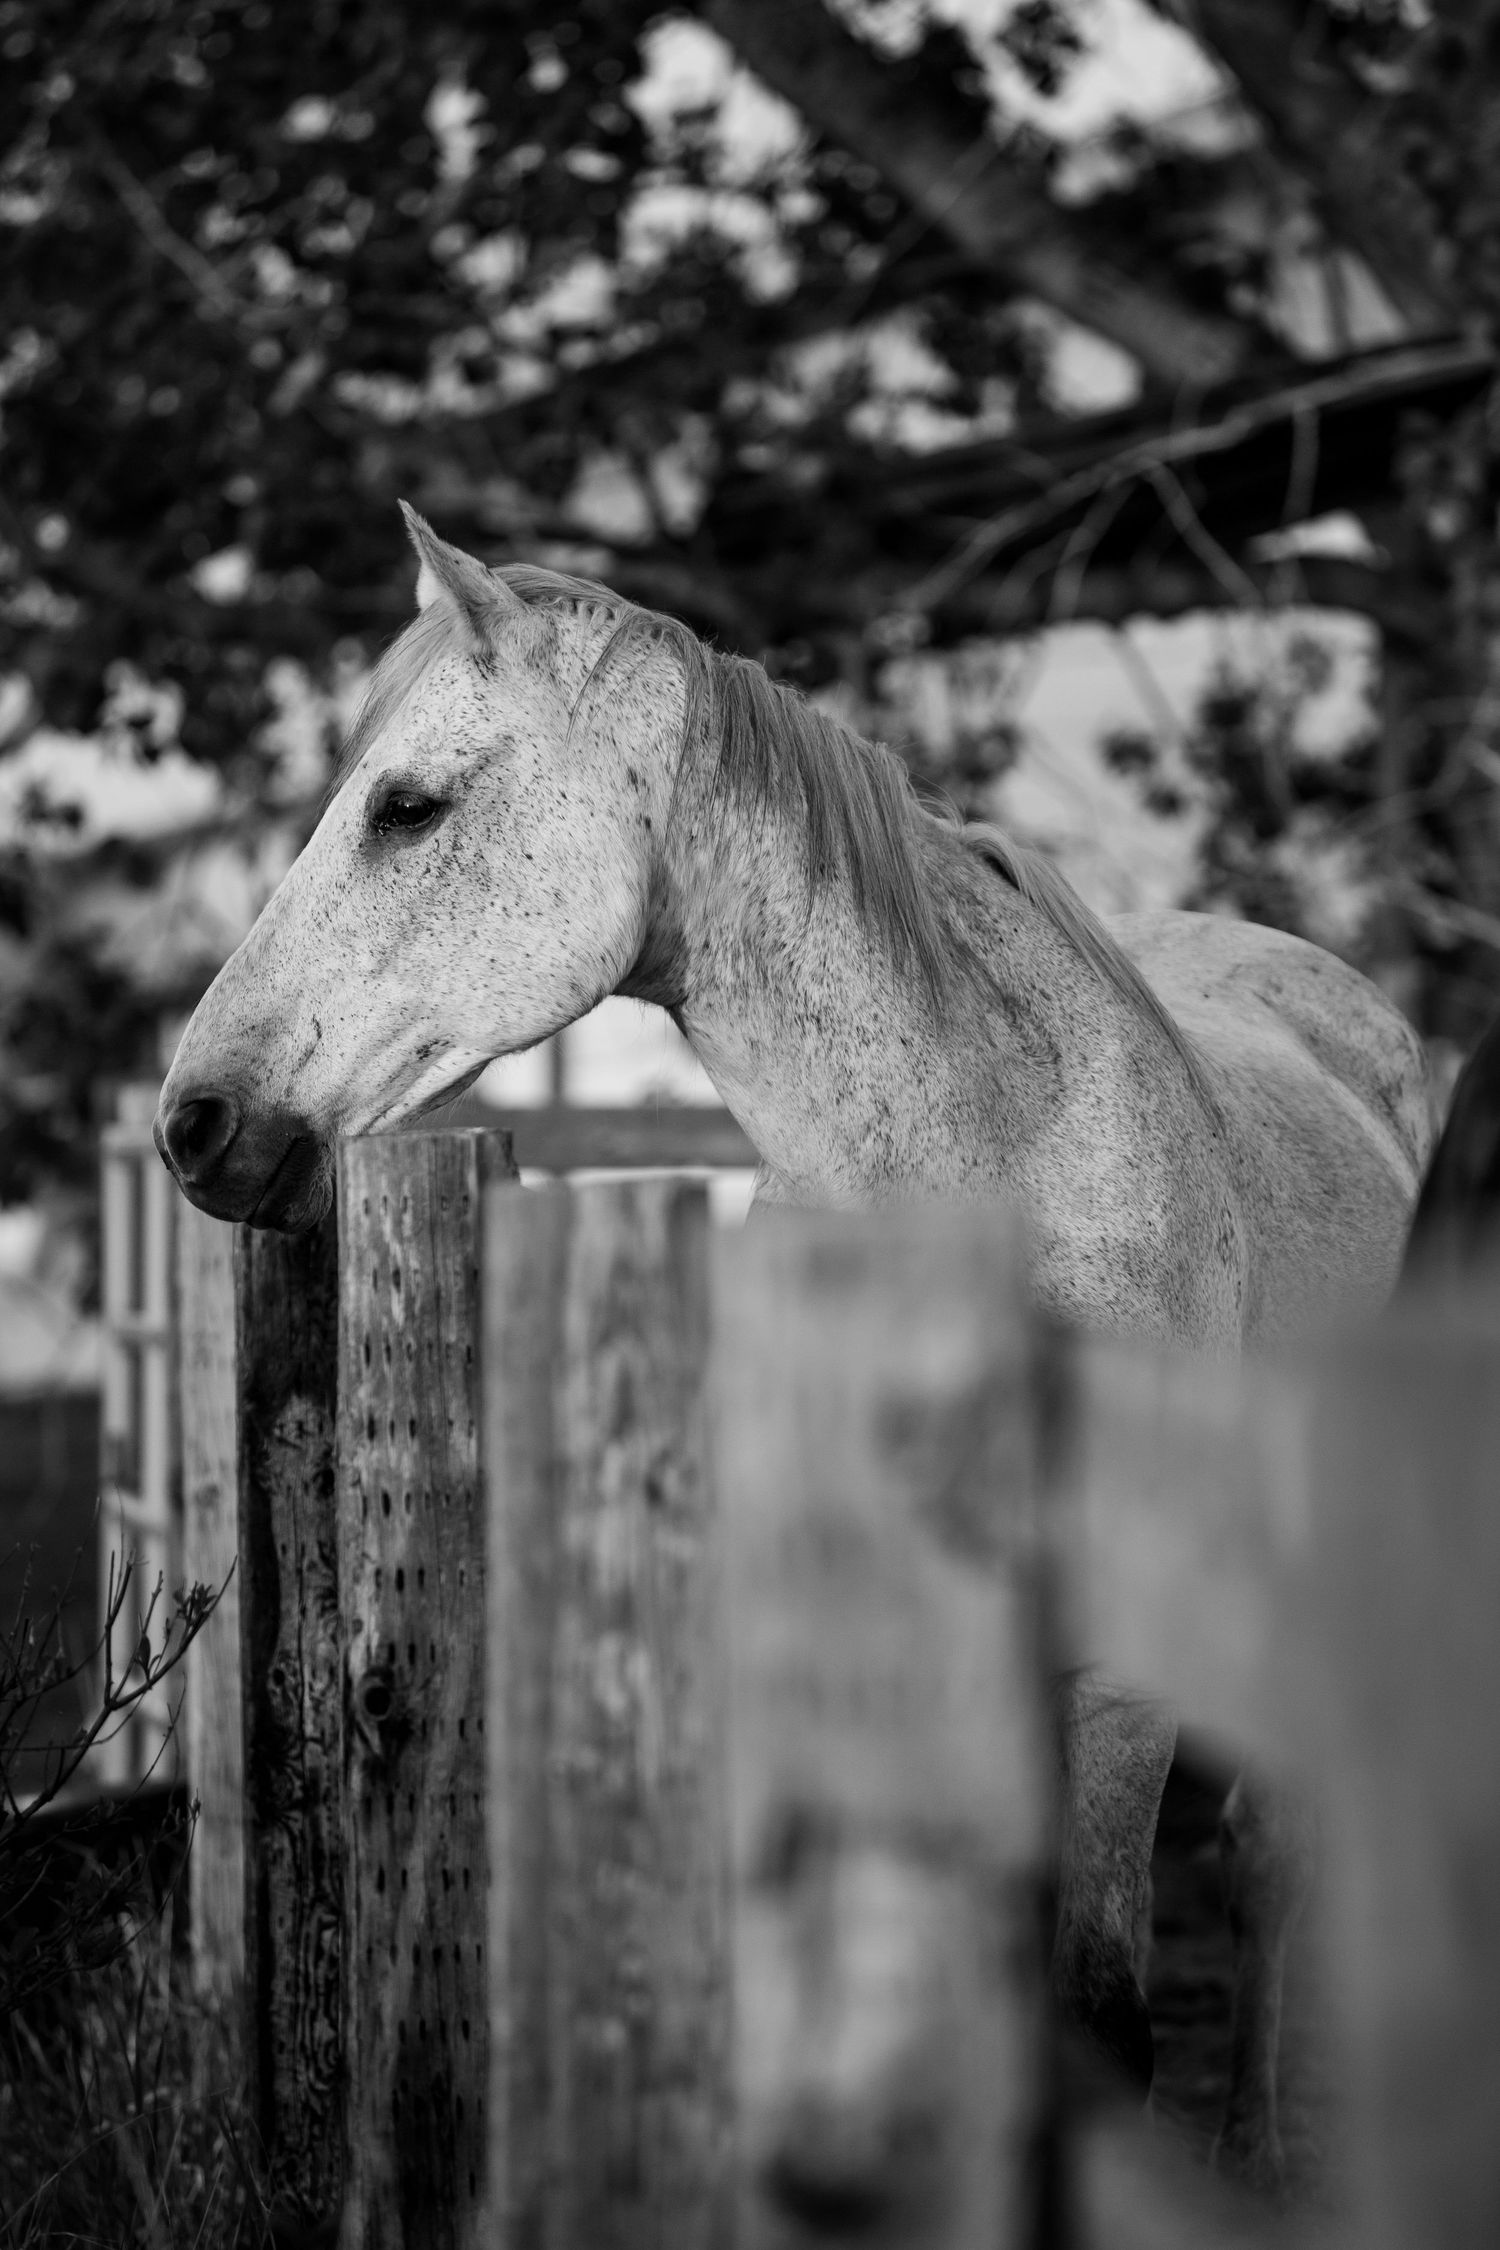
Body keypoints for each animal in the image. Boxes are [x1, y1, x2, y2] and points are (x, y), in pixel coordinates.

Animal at [154, 507, 1434, 2197]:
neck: (994, 1170)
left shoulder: (1119, 1676)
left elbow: (1103, 2015)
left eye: (406, 805)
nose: (195, 1123)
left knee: (1280, 1860)